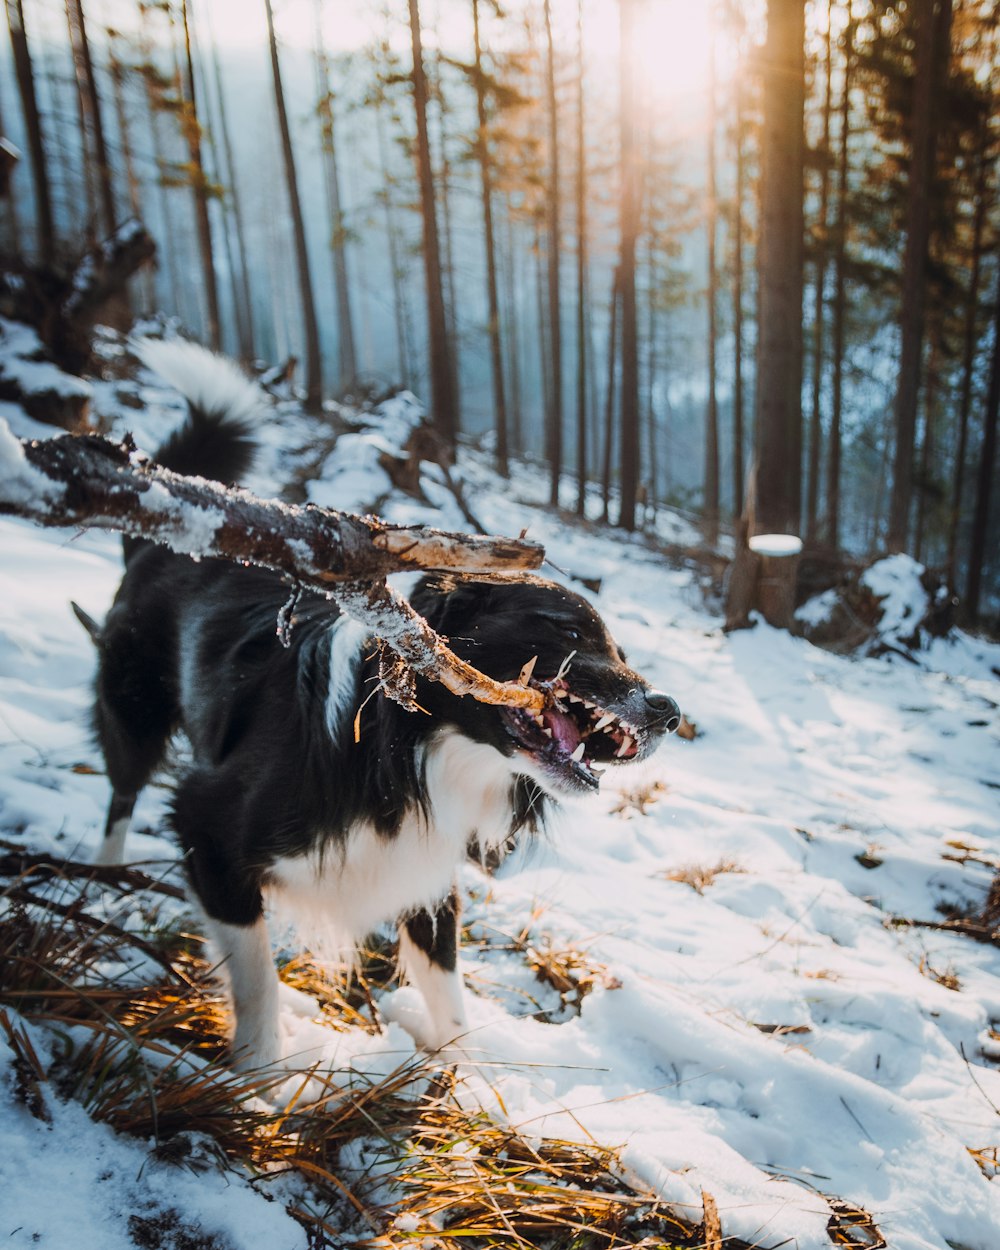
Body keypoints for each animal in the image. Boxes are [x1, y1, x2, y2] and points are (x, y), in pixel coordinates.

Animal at [91, 342, 680, 1075]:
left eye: (620, 648)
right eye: (570, 632)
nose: (669, 710)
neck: (411, 752)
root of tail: (171, 532)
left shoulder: (423, 874)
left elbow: (449, 996)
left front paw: (468, 1084)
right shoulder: (209, 827)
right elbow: (256, 980)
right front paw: (258, 1083)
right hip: (132, 710)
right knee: (121, 793)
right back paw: (106, 883)